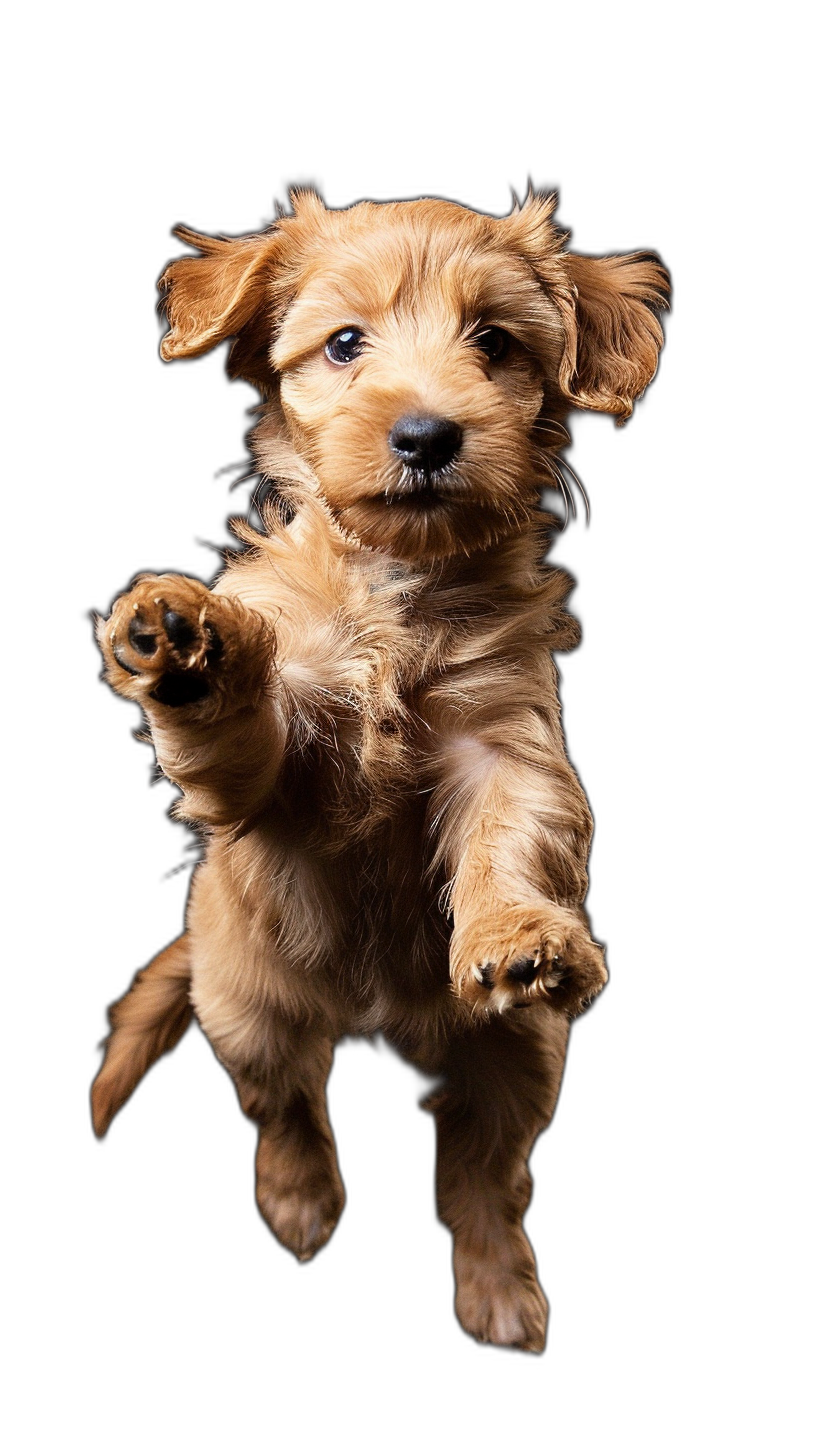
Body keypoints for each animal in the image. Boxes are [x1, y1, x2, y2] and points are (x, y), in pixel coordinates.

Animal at [90, 187, 670, 1345]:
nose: (427, 433)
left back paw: (501, 1290)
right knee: (284, 1110)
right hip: (246, 1005)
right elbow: (238, 738)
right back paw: (301, 1203)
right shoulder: (268, 775)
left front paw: (519, 930)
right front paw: (185, 643)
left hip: (521, 1054)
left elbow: (517, 832)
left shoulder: (510, 739)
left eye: (494, 344)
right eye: (346, 344)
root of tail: (370, 1013)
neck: (401, 584)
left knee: (485, 1174)